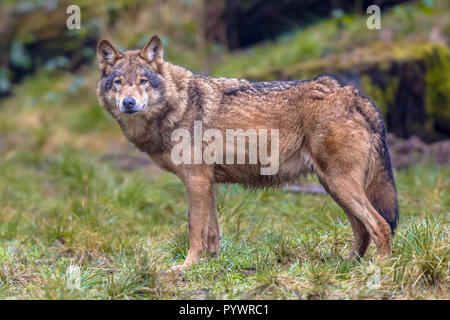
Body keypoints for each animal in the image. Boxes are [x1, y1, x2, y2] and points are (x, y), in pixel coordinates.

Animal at [96, 35, 400, 272]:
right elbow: (212, 232)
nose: (128, 103)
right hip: (333, 186)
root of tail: (351, 93)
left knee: (380, 225)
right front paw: (211, 265)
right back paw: (346, 267)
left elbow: (194, 230)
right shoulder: (206, 182)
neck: (177, 105)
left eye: (143, 81)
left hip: (340, 184)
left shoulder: (196, 180)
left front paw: (186, 266)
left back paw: (381, 269)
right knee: (362, 229)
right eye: (118, 82)